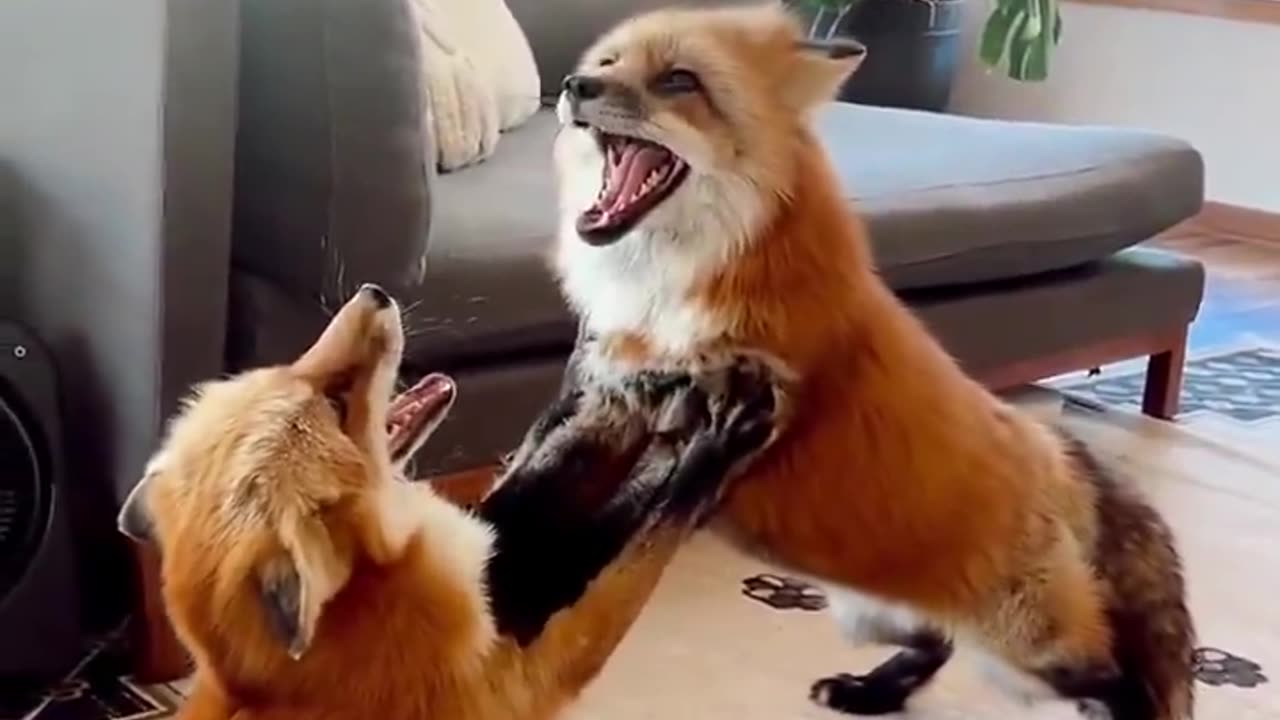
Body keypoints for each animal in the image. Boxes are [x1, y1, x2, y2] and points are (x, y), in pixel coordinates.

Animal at [115, 283, 789, 720]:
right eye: (334, 402)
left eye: (285, 366)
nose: (374, 292)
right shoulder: (543, 662)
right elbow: (652, 520)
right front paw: (718, 438)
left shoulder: (499, 562)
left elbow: (551, 451)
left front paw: (599, 367)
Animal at [548, 4, 1196, 720]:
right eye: (609, 64)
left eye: (679, 80)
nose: (575, 85)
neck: (671, 287)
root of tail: (1058, 451)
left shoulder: (703, 434)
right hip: (875, 613)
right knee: (935, 643)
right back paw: (870, 691)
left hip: (1028, 653)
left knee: (1114, 678)